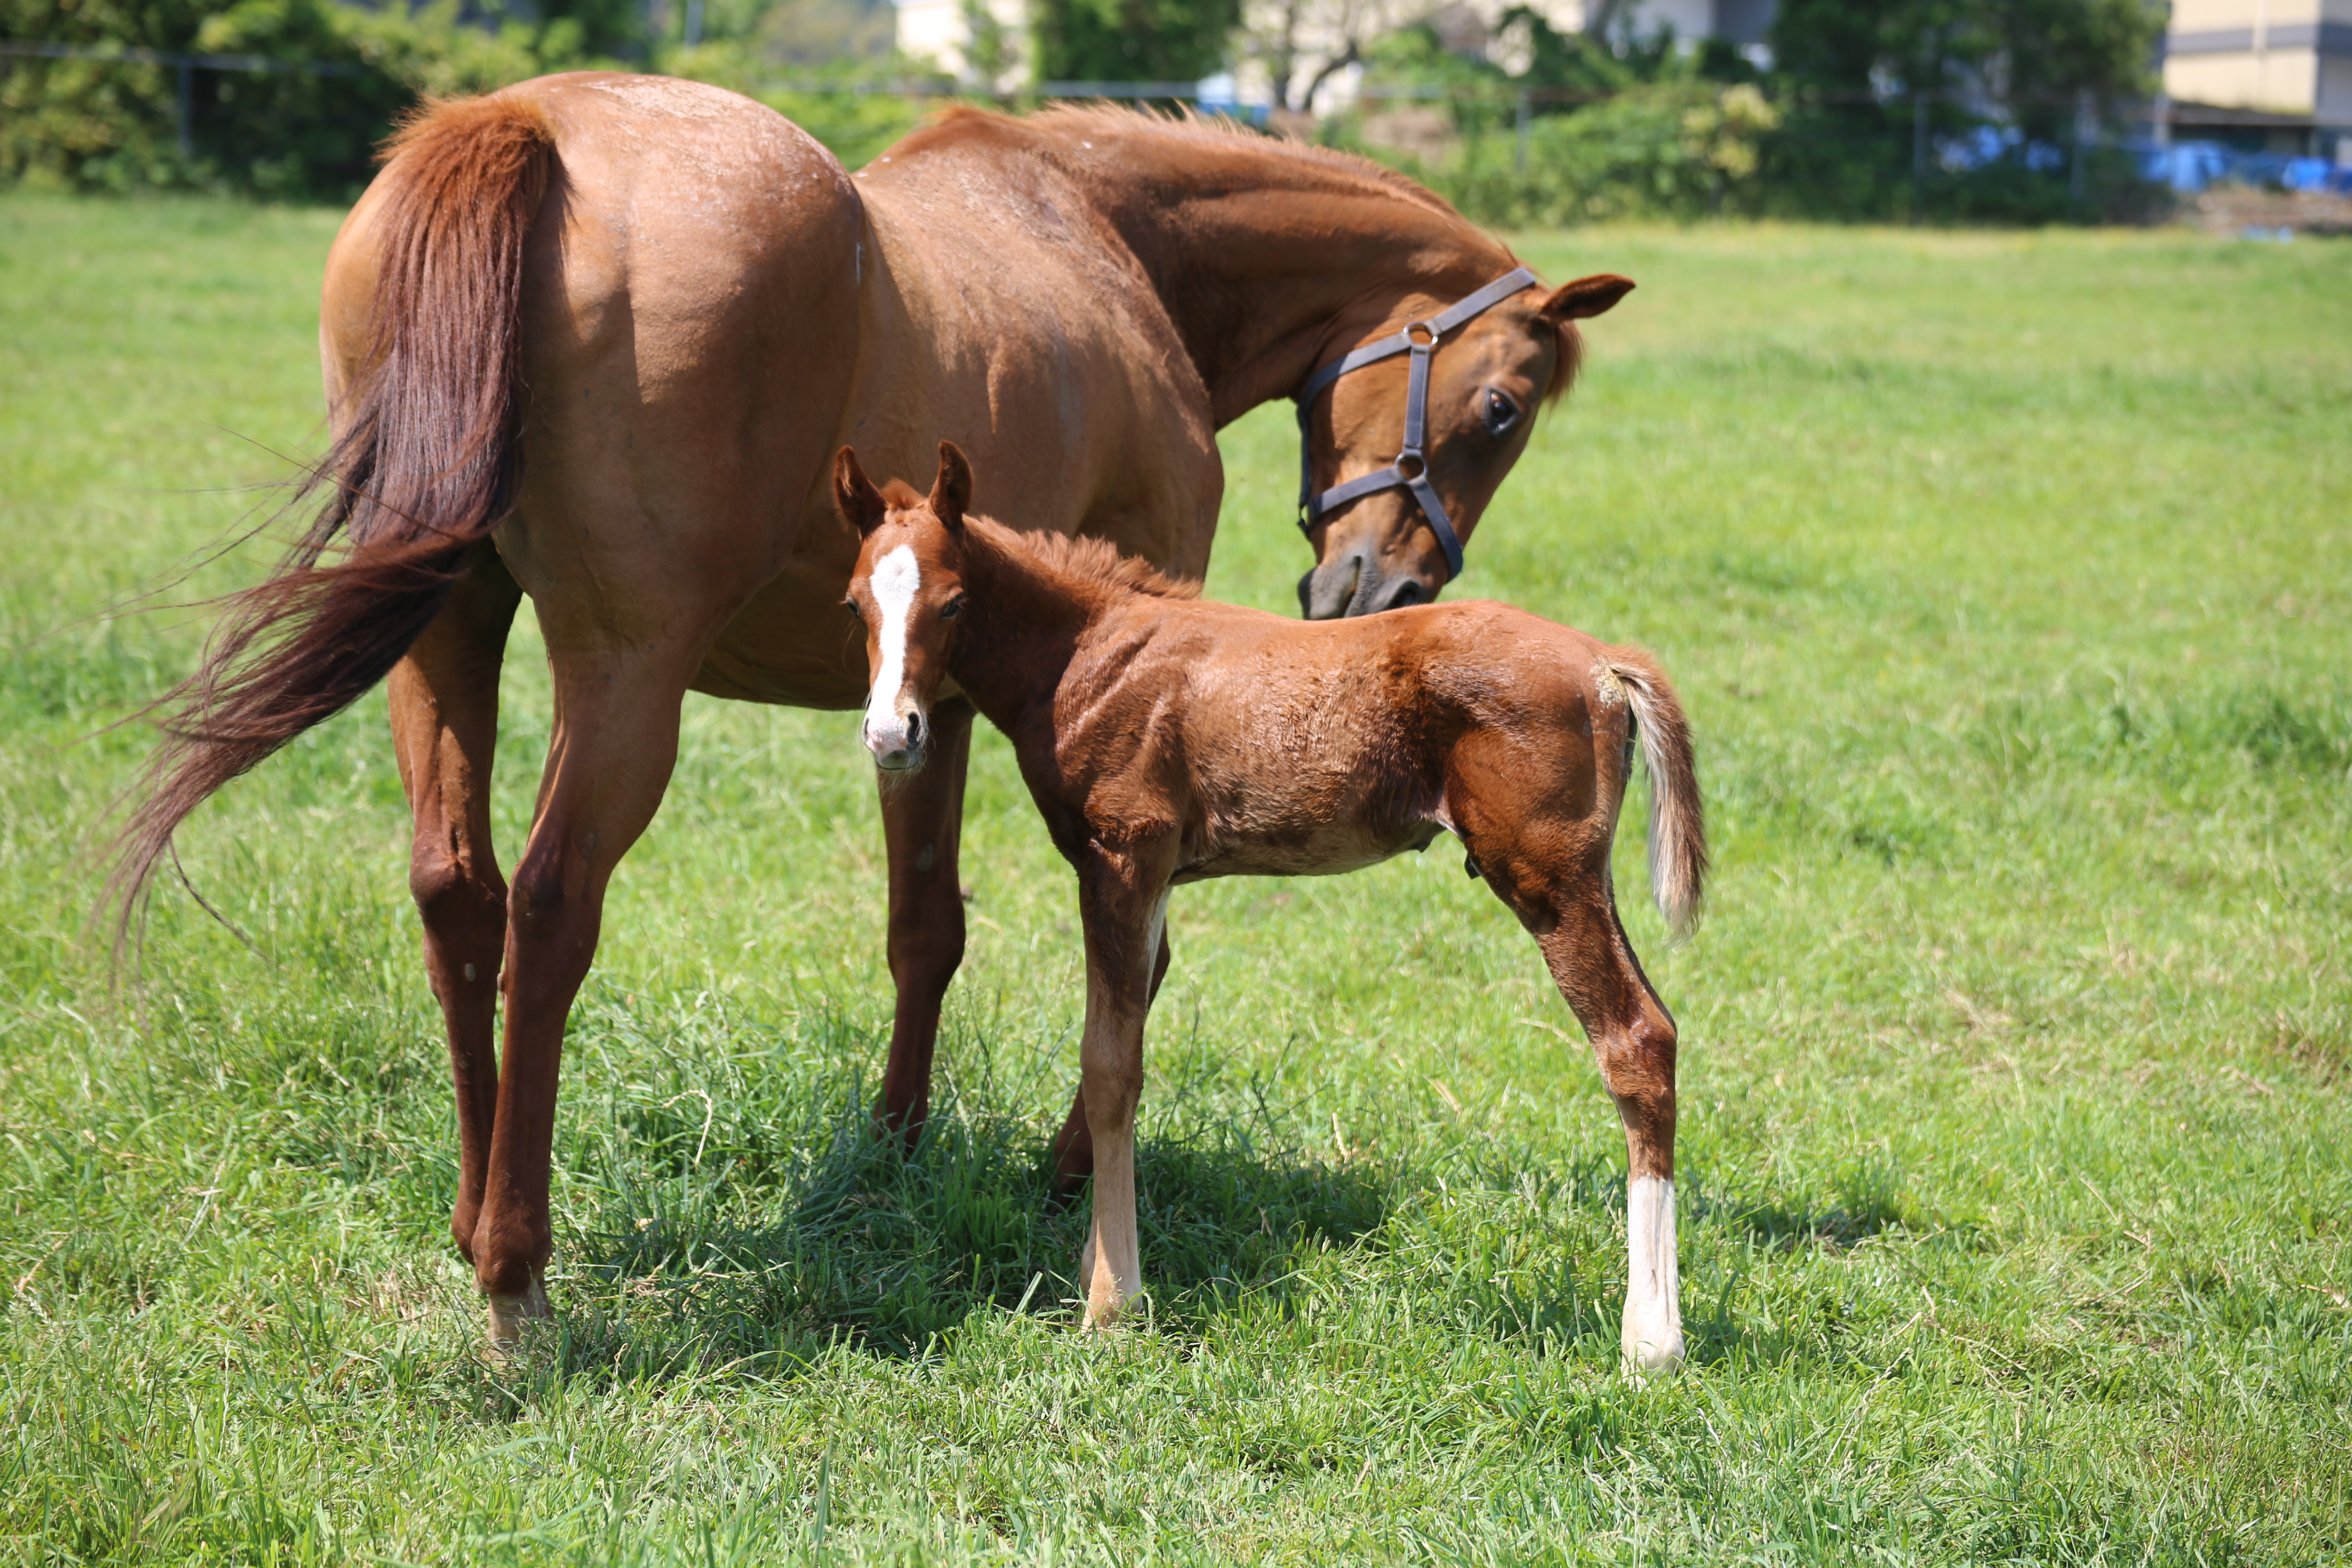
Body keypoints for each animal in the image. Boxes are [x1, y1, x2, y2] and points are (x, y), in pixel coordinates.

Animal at [846, 444, 1712, 1373]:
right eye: (855, 602)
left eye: (953, 600)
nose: (892, 735)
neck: (1090, 654)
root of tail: (1601, 661)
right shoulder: (1151, 878)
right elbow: (1125, 1038)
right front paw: (1097, 1266)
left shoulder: (1123, 857)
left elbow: (1111, 1066)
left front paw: (1114, 1304)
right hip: (1585, 878)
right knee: (1657, 1026)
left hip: (1548, 878)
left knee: (1635, 1039)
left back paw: (1652, 1339)